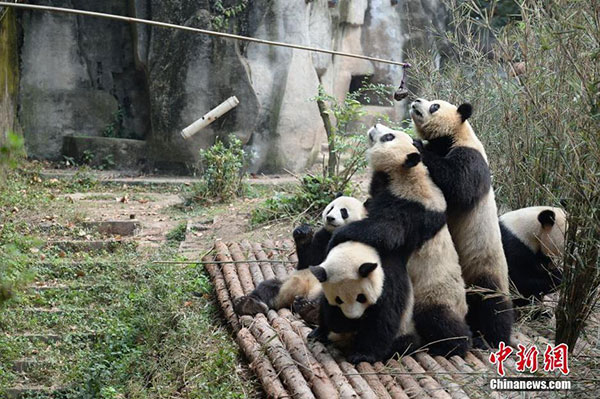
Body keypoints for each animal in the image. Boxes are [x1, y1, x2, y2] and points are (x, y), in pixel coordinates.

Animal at [233, 195, 366, 318]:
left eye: (343, 211)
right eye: (331, 208)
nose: (330, 218)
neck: (334, 232)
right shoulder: (324, 237)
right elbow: (310, 259)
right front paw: (303, 233)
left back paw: (310, 310)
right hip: (287, 281)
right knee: (267, 287)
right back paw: (247, 304)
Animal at [328, 126, 474, 358]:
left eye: (389, 136)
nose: (375, 126)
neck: (406, 174)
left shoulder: (411, 207)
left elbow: (387, 232)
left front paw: (338, 235)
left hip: (436, 295)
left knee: (440, 320)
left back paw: (451, 345)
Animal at [410, 97, 512, 350]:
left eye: (434, 106)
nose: (416, 101)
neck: (456, 134)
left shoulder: (472, 158)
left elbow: (458, 185)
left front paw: (417, 145)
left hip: (484, 266)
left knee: (492, 304)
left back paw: (492, 338)